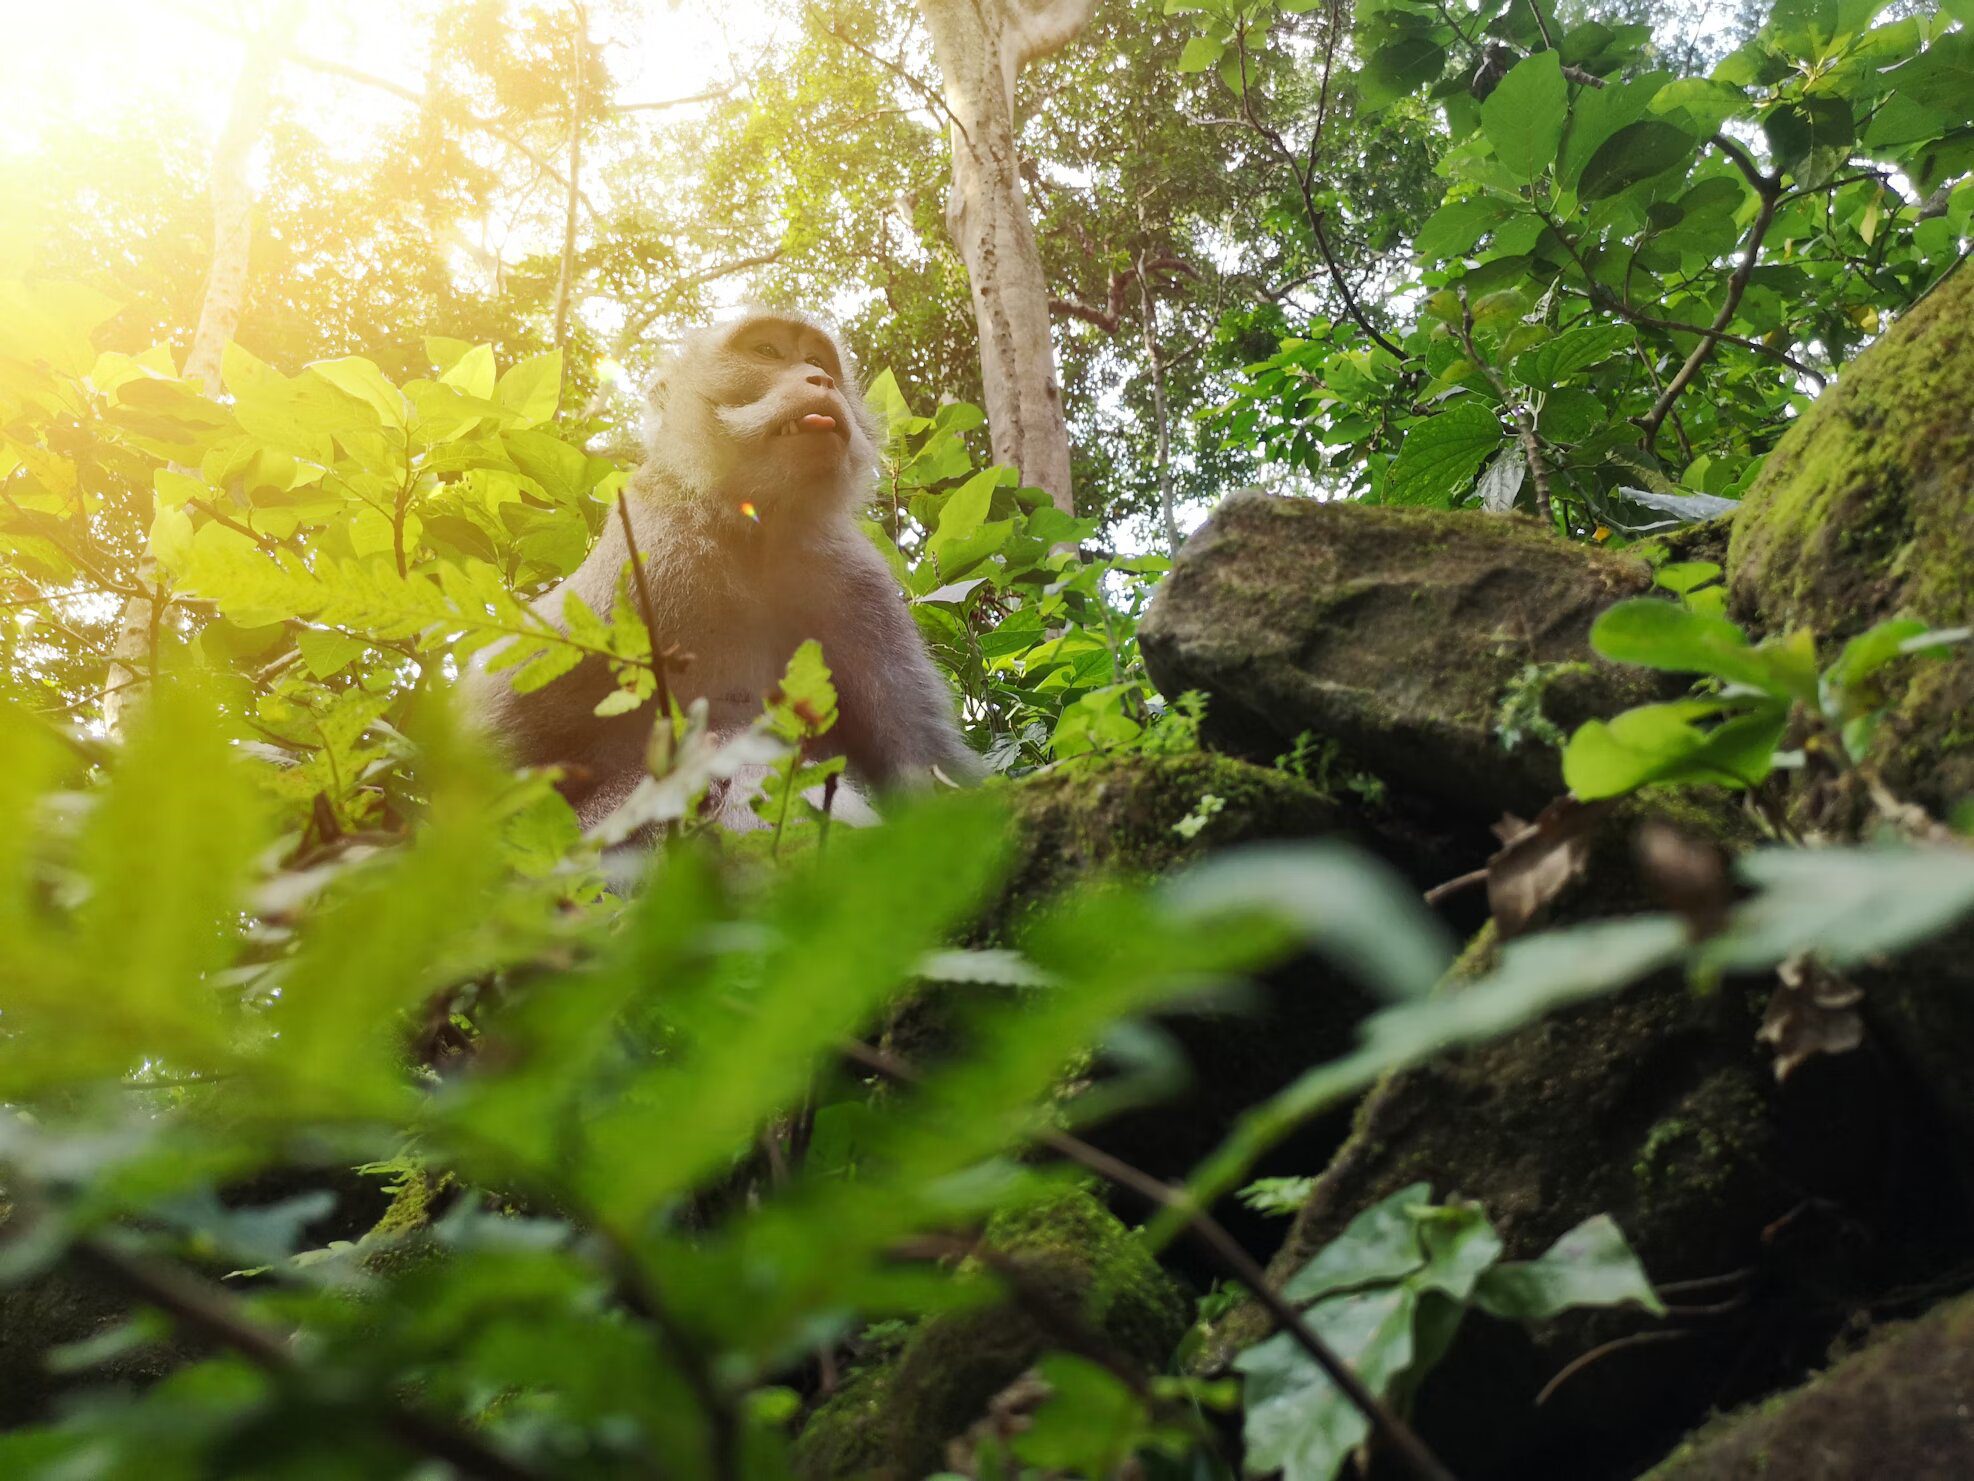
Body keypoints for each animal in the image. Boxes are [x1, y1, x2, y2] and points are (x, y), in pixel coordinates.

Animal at [460, 308, 981, 832]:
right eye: (767, 352)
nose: (822, 379)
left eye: (815, 360)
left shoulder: (855, 577)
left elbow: (924, 764)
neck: (753, 536)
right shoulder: (646, 552)